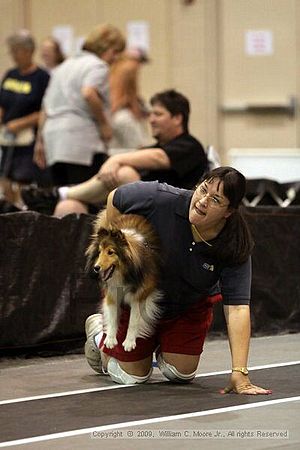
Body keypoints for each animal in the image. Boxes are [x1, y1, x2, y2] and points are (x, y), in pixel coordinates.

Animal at [85, 209, 163, 354]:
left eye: (110, 252)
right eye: (99, 251)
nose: (96, 268)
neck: (122, 273)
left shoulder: (141, 295)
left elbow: (133, 320)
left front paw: (129, 342)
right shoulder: (111, 292)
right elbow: (112, 316)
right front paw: (110, 339)